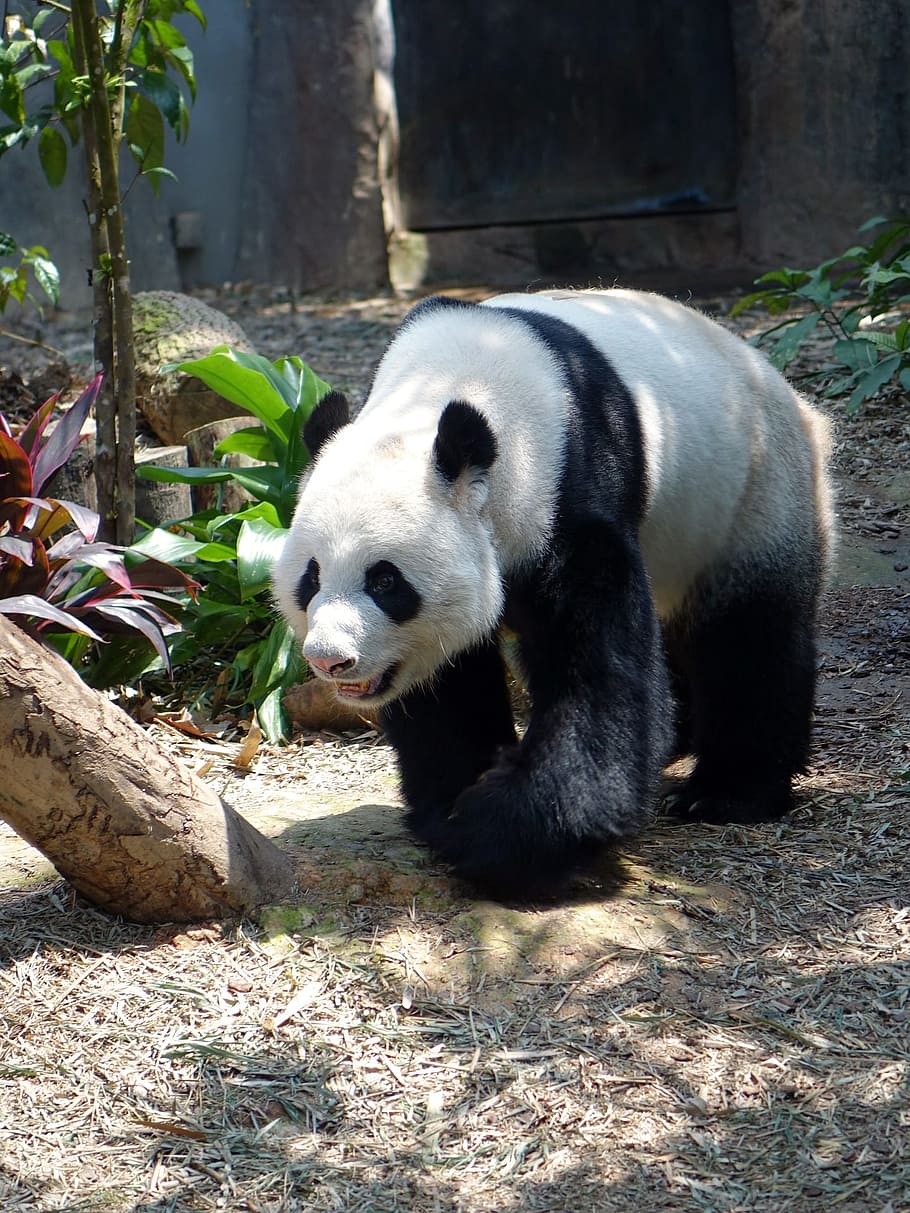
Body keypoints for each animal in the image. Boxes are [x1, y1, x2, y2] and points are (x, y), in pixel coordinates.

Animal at [272, 289, 835, 899]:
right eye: (312, 578)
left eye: (384, 581)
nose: (329, 660)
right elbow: (448, 683)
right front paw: (452, 802)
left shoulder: (568, 493)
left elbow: (596, 680)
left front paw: (501, 833)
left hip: (752, 497)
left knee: (749, 638)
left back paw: (725, 791)